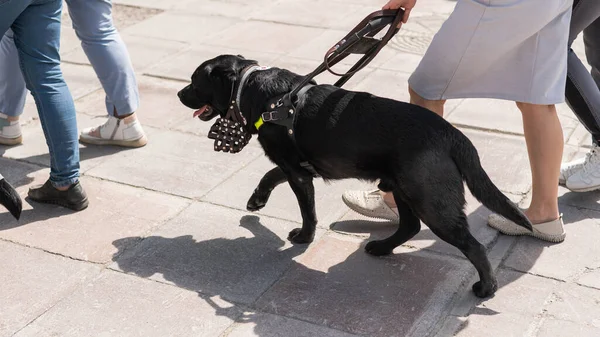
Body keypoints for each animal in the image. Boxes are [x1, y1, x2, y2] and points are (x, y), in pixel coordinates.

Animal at [177, 54, 528, 296]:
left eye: (195, 81)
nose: (180, 94)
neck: (260, 94)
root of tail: (453, 135)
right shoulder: (295, 166)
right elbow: (271, 174)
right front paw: (257, 200)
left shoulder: (298, 174)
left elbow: (307, 211)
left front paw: (303, 237)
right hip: (404, 188)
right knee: (410, 226)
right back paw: (382, 248)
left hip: (431, 202)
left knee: (473, 247)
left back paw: (486, 289)